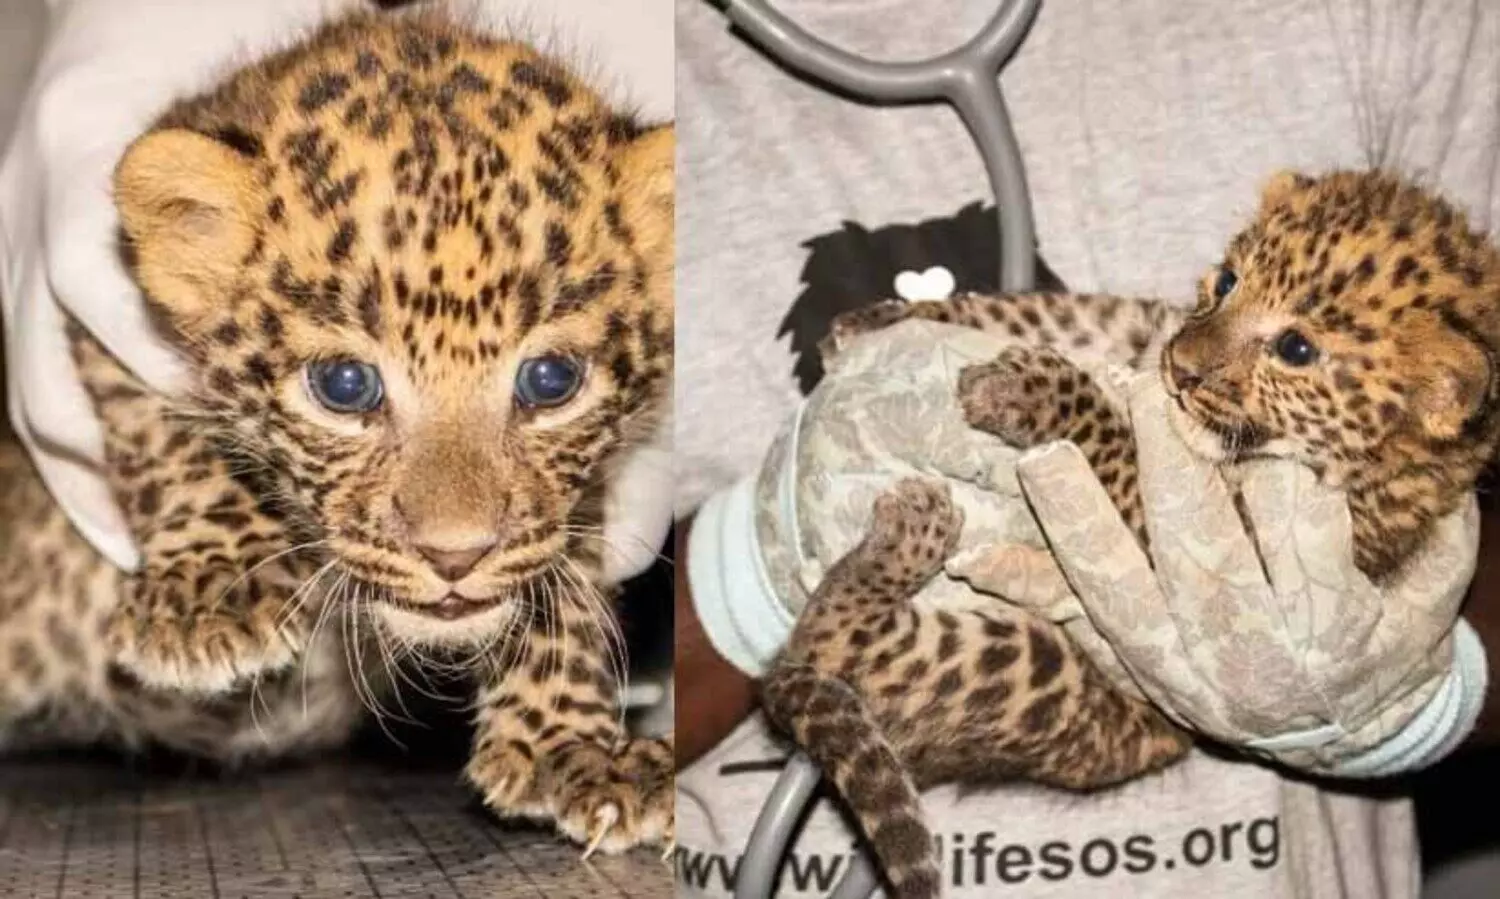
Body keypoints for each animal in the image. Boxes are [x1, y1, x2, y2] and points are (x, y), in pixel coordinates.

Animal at [0, 8, 674, 856]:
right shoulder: (106, 320)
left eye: (551, 381)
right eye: (344, 387)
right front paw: (213, 592)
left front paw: (573, 746)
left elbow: (563, 578)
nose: (455, 555)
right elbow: (167, 437)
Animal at [761, 169, 1500, 898]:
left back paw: (910, 531)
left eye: (1297, 349)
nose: (1183, 369)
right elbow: (1044, 310)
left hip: (1033, 672)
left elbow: (1119, 443)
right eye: (1227, 281)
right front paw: (880, 322)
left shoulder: (1211, 548)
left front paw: (1026, 390)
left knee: (831, 640)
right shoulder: (1136, 326)